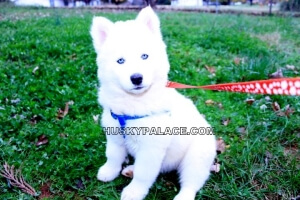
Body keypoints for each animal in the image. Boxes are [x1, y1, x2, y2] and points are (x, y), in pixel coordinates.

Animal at [90, 6, 217, 200]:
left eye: (144, 56)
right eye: (120, 61)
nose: (136, 78)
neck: (134, 103)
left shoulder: (151, 148)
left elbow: (144, 173)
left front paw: (134, 191)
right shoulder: (115, 136)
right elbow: (112, 156)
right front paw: (109, 171)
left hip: (196, 157)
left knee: (191, 182)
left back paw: (183, 195)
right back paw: (130, 169)